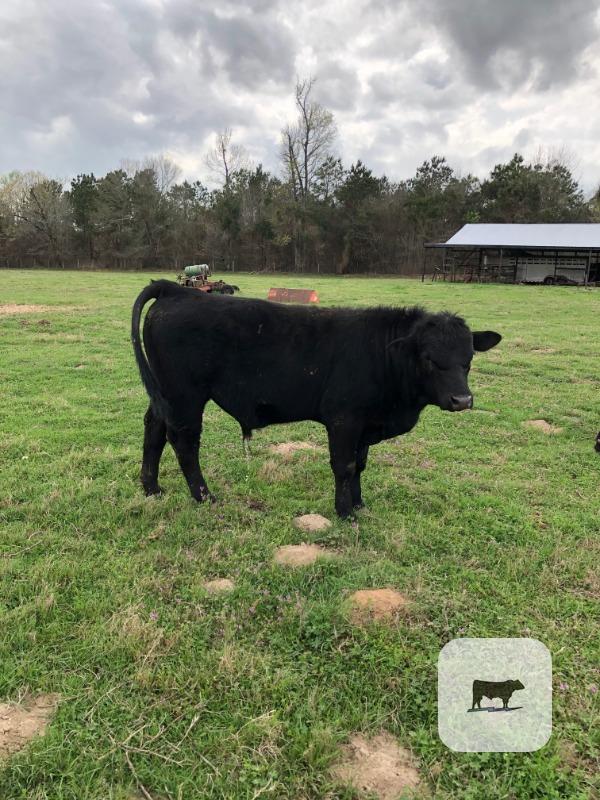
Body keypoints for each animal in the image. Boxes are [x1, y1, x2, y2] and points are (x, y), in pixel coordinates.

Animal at [131, 280, 501, 518]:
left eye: (468, 357)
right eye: (428, 358)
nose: (462, 399)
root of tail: (176, 289)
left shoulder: (365, 424)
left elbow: (360, 465)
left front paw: (359, 504)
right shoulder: (343, 419)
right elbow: (344, 465)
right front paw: (345, 512)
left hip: (165, 394)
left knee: (154, 430)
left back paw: (152, 488)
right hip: (185, 396)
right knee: (184, 442)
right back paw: (204, 496)